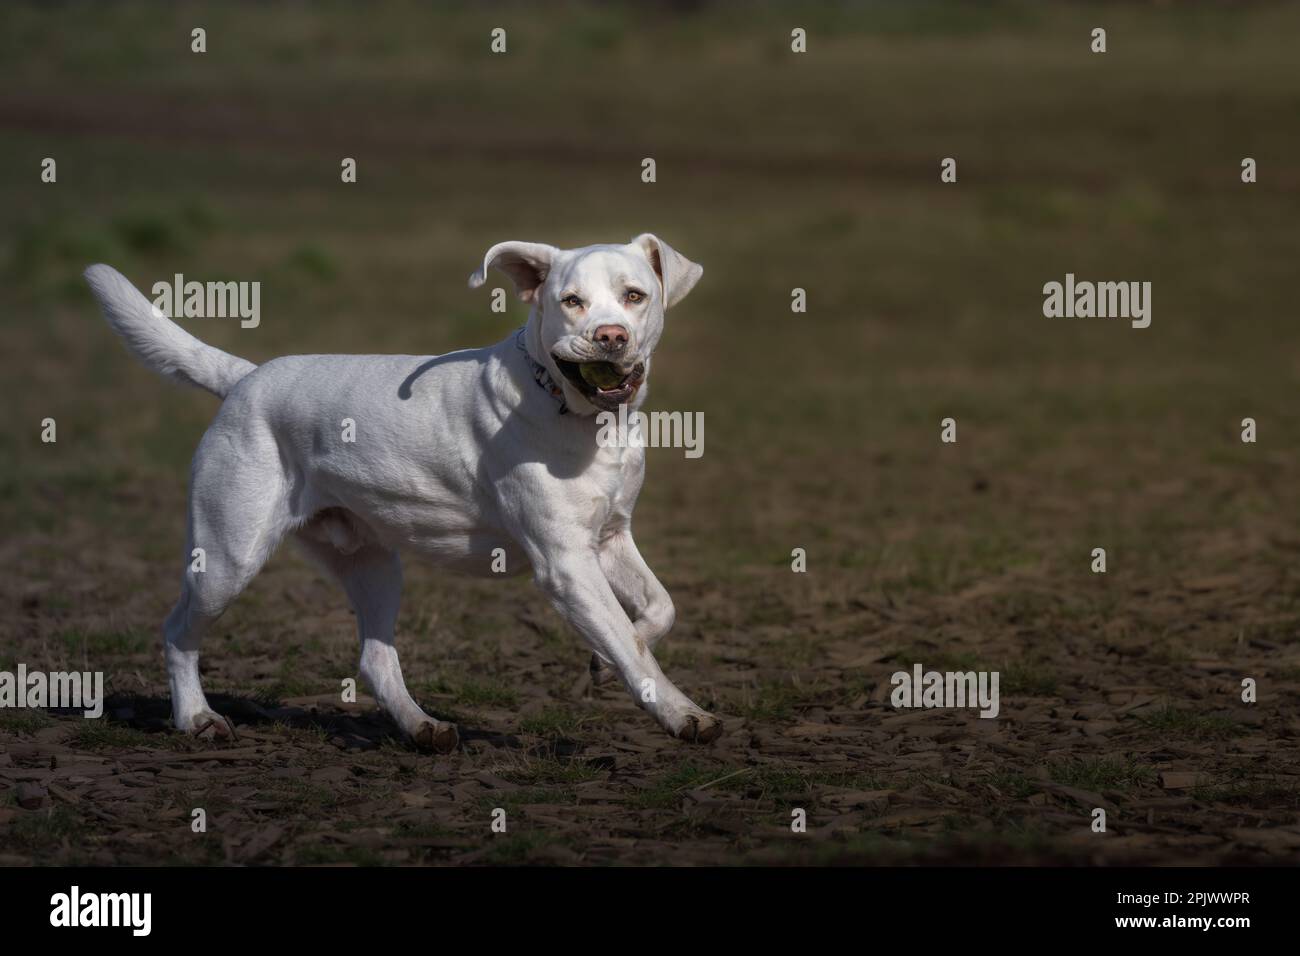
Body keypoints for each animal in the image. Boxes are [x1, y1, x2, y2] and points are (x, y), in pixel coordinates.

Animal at [86, 235, 722, 749]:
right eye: (572, 302)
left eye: (635, 296)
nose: (610, 337)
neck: (576, 414)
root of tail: (244, 378)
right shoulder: (565, 563)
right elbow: (629, 642)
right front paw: (682, 714)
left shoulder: (610, 538)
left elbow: (656, 612)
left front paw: (599, 663)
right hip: (227, 558)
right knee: (177, 632)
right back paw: (196, 719)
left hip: (372, 561)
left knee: (374, 659)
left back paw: (422, 728)